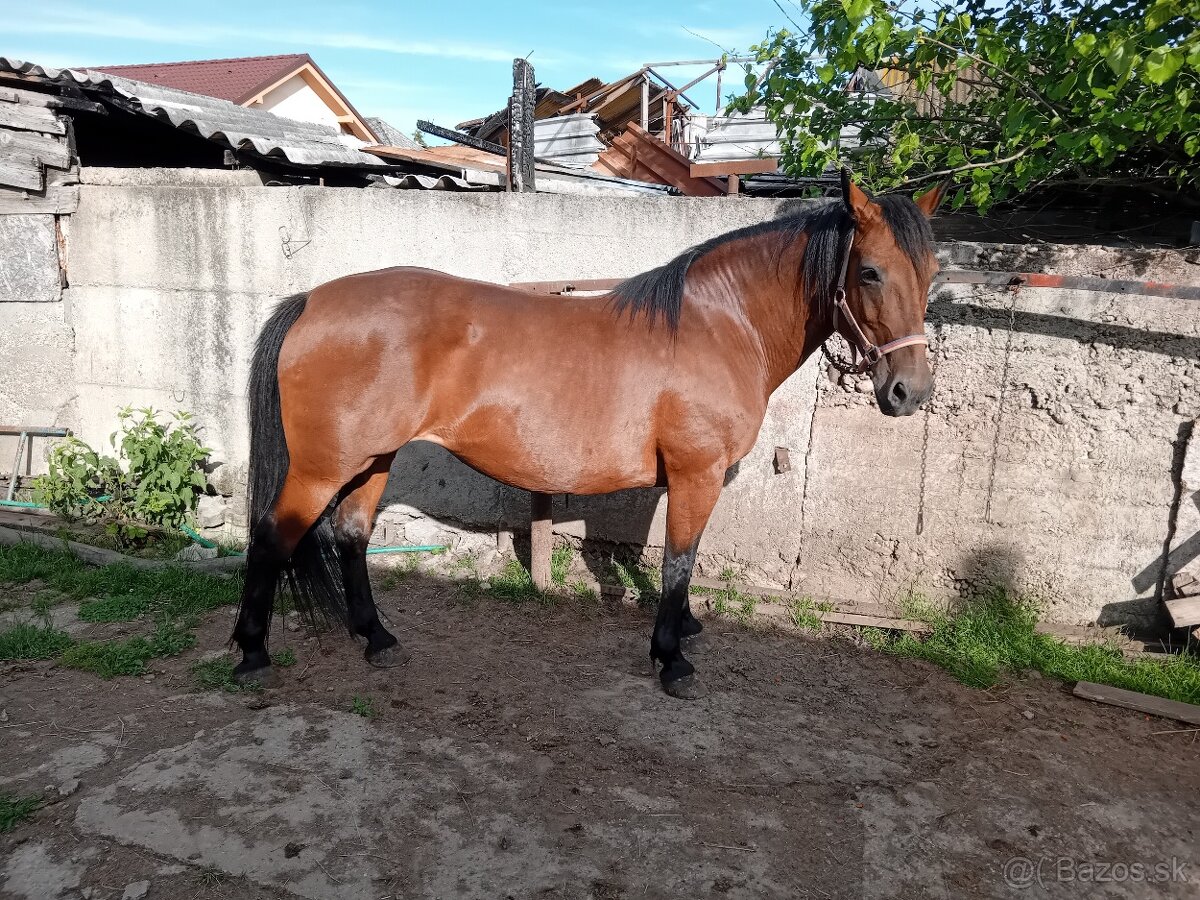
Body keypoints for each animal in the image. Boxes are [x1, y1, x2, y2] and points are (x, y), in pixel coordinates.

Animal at [231, 173, 947, 699]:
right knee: (271, 538)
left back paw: (377, 639)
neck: (721, 324)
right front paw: (671, 660)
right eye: (870, 272)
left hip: (371, 459)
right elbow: (678, 559)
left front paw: (686, 630)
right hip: (321, 466)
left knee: (351, 536)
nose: (909, 392)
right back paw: (252, 652)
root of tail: (312, 301)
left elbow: (681, 559)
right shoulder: (695, 474)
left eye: (932, 272)